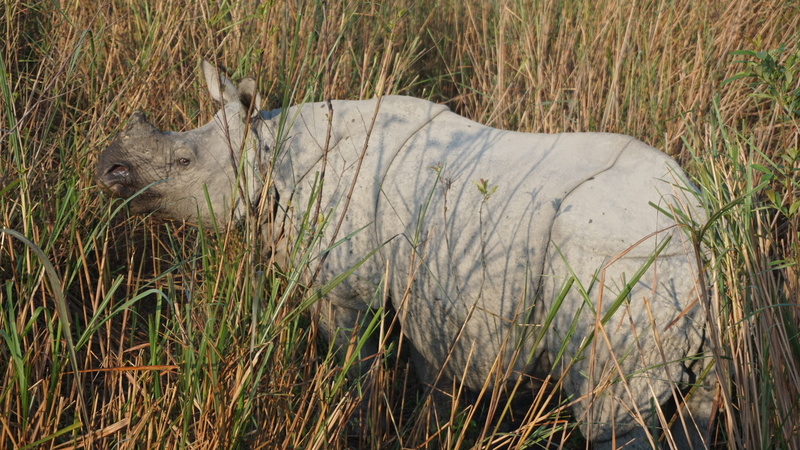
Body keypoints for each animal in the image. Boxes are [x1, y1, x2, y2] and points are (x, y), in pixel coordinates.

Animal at [98, 60, 715, 449]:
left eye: (183, 165)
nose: (107, 168)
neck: (268, 153)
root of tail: (695, 215)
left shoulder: (346, 289)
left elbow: (356, 369)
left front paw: (359, 432)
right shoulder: (432, 300)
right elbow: (432, 385)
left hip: (624, 260)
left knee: (613, 417)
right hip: (679, 267)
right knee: (696, 410)